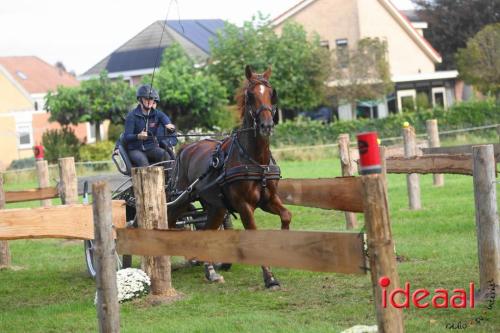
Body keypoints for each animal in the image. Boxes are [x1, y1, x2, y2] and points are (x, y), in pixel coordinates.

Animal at [169, 65, 292, 288]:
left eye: (272, 93)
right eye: (251, 95)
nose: (267, 125)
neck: (255, 159)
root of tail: (185, 148)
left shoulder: (269, 200)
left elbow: (287, 215)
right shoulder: (244, 206)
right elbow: (254, 234)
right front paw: (270, 278)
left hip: (215, 206)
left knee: (206, 230)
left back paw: (210, 271)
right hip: (180, 200)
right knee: (167, 221)